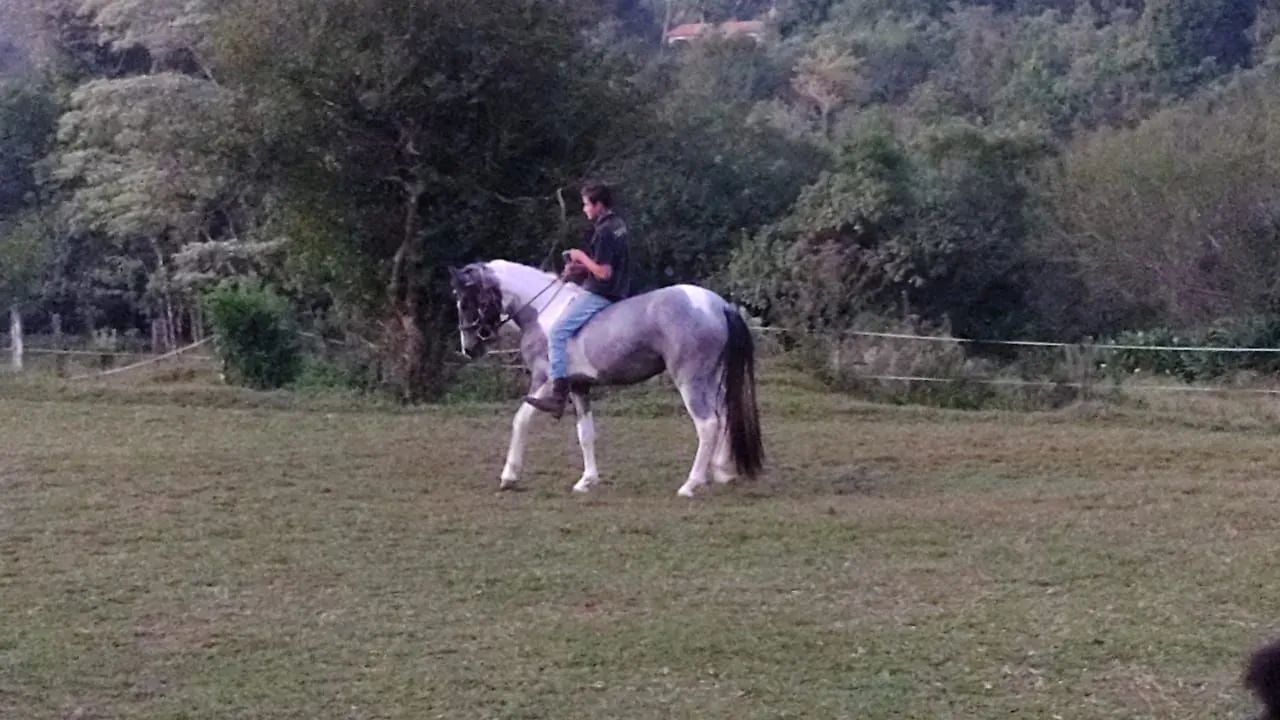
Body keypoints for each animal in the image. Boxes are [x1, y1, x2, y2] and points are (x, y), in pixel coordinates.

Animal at [448, 260, 763, 497]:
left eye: (467, 302)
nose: (468, 348)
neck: (545, 311)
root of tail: (719, 305)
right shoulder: (578, 386)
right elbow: (585, 434)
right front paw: (587, 481)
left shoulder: (545, 380)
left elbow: (521, 420)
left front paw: (509, 476)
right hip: (712, 378)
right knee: (724, 416)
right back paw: (723, 471)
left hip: (690, 380)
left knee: (708, 425)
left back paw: (691, 484)